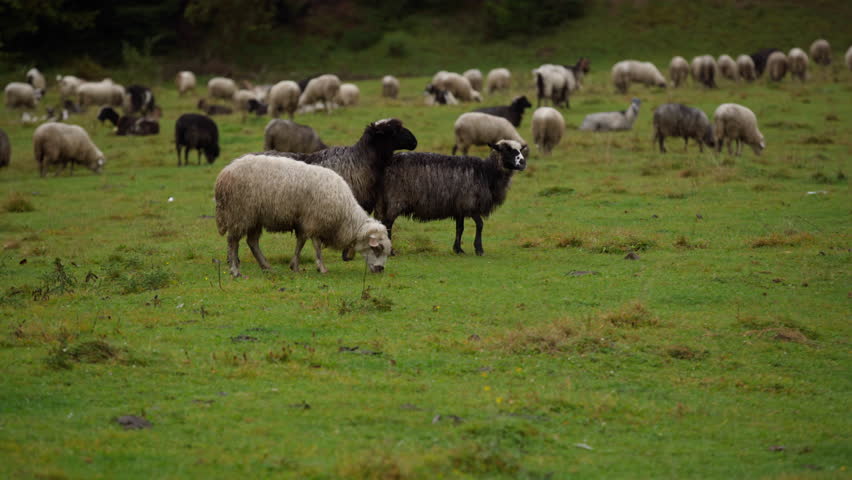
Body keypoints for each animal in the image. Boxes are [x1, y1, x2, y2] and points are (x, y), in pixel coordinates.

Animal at [215, 154, 392, 277]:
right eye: (377, 249)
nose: (380, 269)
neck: (345, 214)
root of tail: (224, 174)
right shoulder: (314, 220)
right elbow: (315, 246)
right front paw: (321, 267)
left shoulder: (305, 222)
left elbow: (300, 243)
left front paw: (295, 266)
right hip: (239, 213)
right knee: (233, 242)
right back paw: (235, 271)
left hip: (254, 217)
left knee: (252, 242)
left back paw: (266, 267)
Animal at [376, 140, 527, 256]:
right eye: (507, 150)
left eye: (520, 150)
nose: (523, 163)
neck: (487, 172)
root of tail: (388, 162)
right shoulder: (470, 203)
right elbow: (480, 225)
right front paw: (479, 249)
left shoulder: (459, 206)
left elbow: (460, 228)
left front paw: (458, 249)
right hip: (395, 200)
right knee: (388, 224)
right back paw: (391, 252)